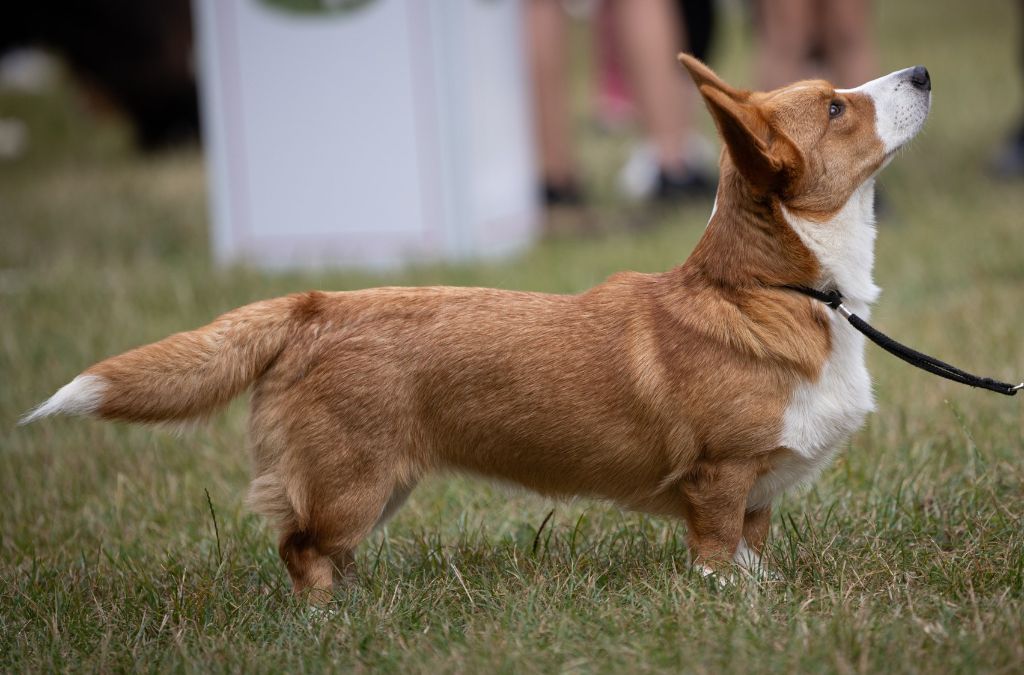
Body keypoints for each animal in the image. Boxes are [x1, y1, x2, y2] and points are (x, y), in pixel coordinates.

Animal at [25, 56, 937, 598]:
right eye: (836, 108)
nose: (923, 72)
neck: (780, 284)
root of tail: (313, 306)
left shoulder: (758, 495)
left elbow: (753, 554)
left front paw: (764, 598)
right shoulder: (720, 478)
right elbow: (717, 557)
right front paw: (732, 611)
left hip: (376, 484)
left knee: (315, 547)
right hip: (352, 483)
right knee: (301, 547)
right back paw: (330, 624)